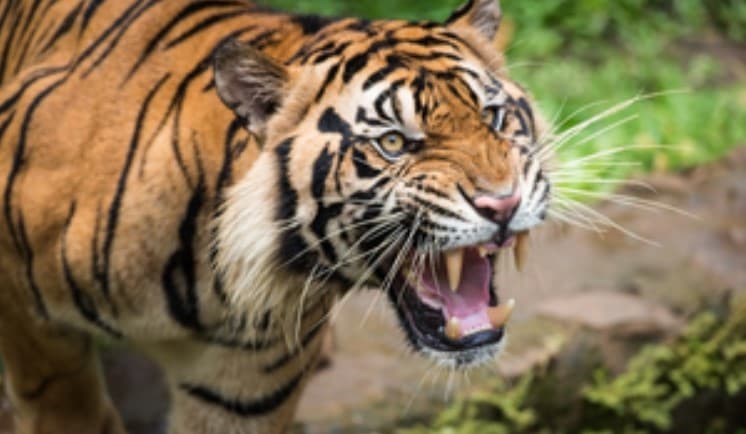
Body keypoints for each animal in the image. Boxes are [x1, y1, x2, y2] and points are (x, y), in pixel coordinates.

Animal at [0, 0, 551, 432]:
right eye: (393, 142)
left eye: (494, 118)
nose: (503, 204)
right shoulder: (26, 313)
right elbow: (62, 405)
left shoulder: (240, 393)